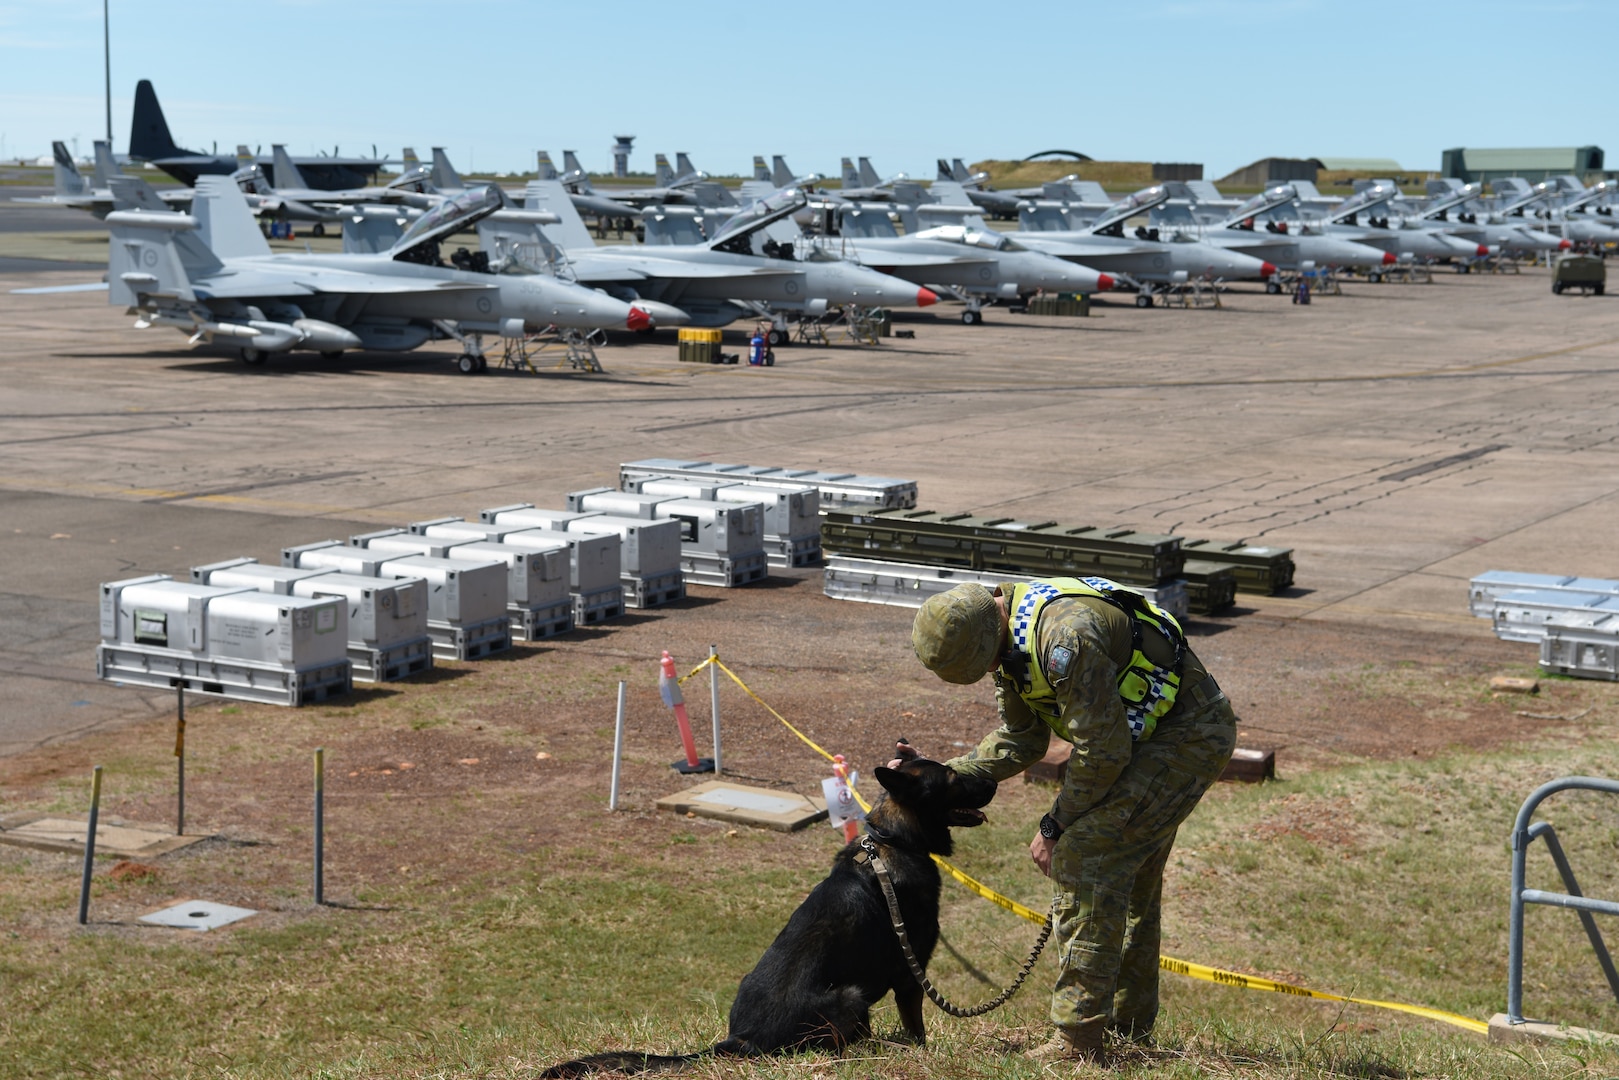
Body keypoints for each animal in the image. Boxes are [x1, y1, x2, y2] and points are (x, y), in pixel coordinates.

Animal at [543, 757, 997, 1075]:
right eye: (953, 779)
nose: (994, 781)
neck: (894, 841)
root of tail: (738, 1041)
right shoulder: (909, 974)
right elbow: (917, 1030)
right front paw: (920, 1052)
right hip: (850, 996)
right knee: (842, 1049)